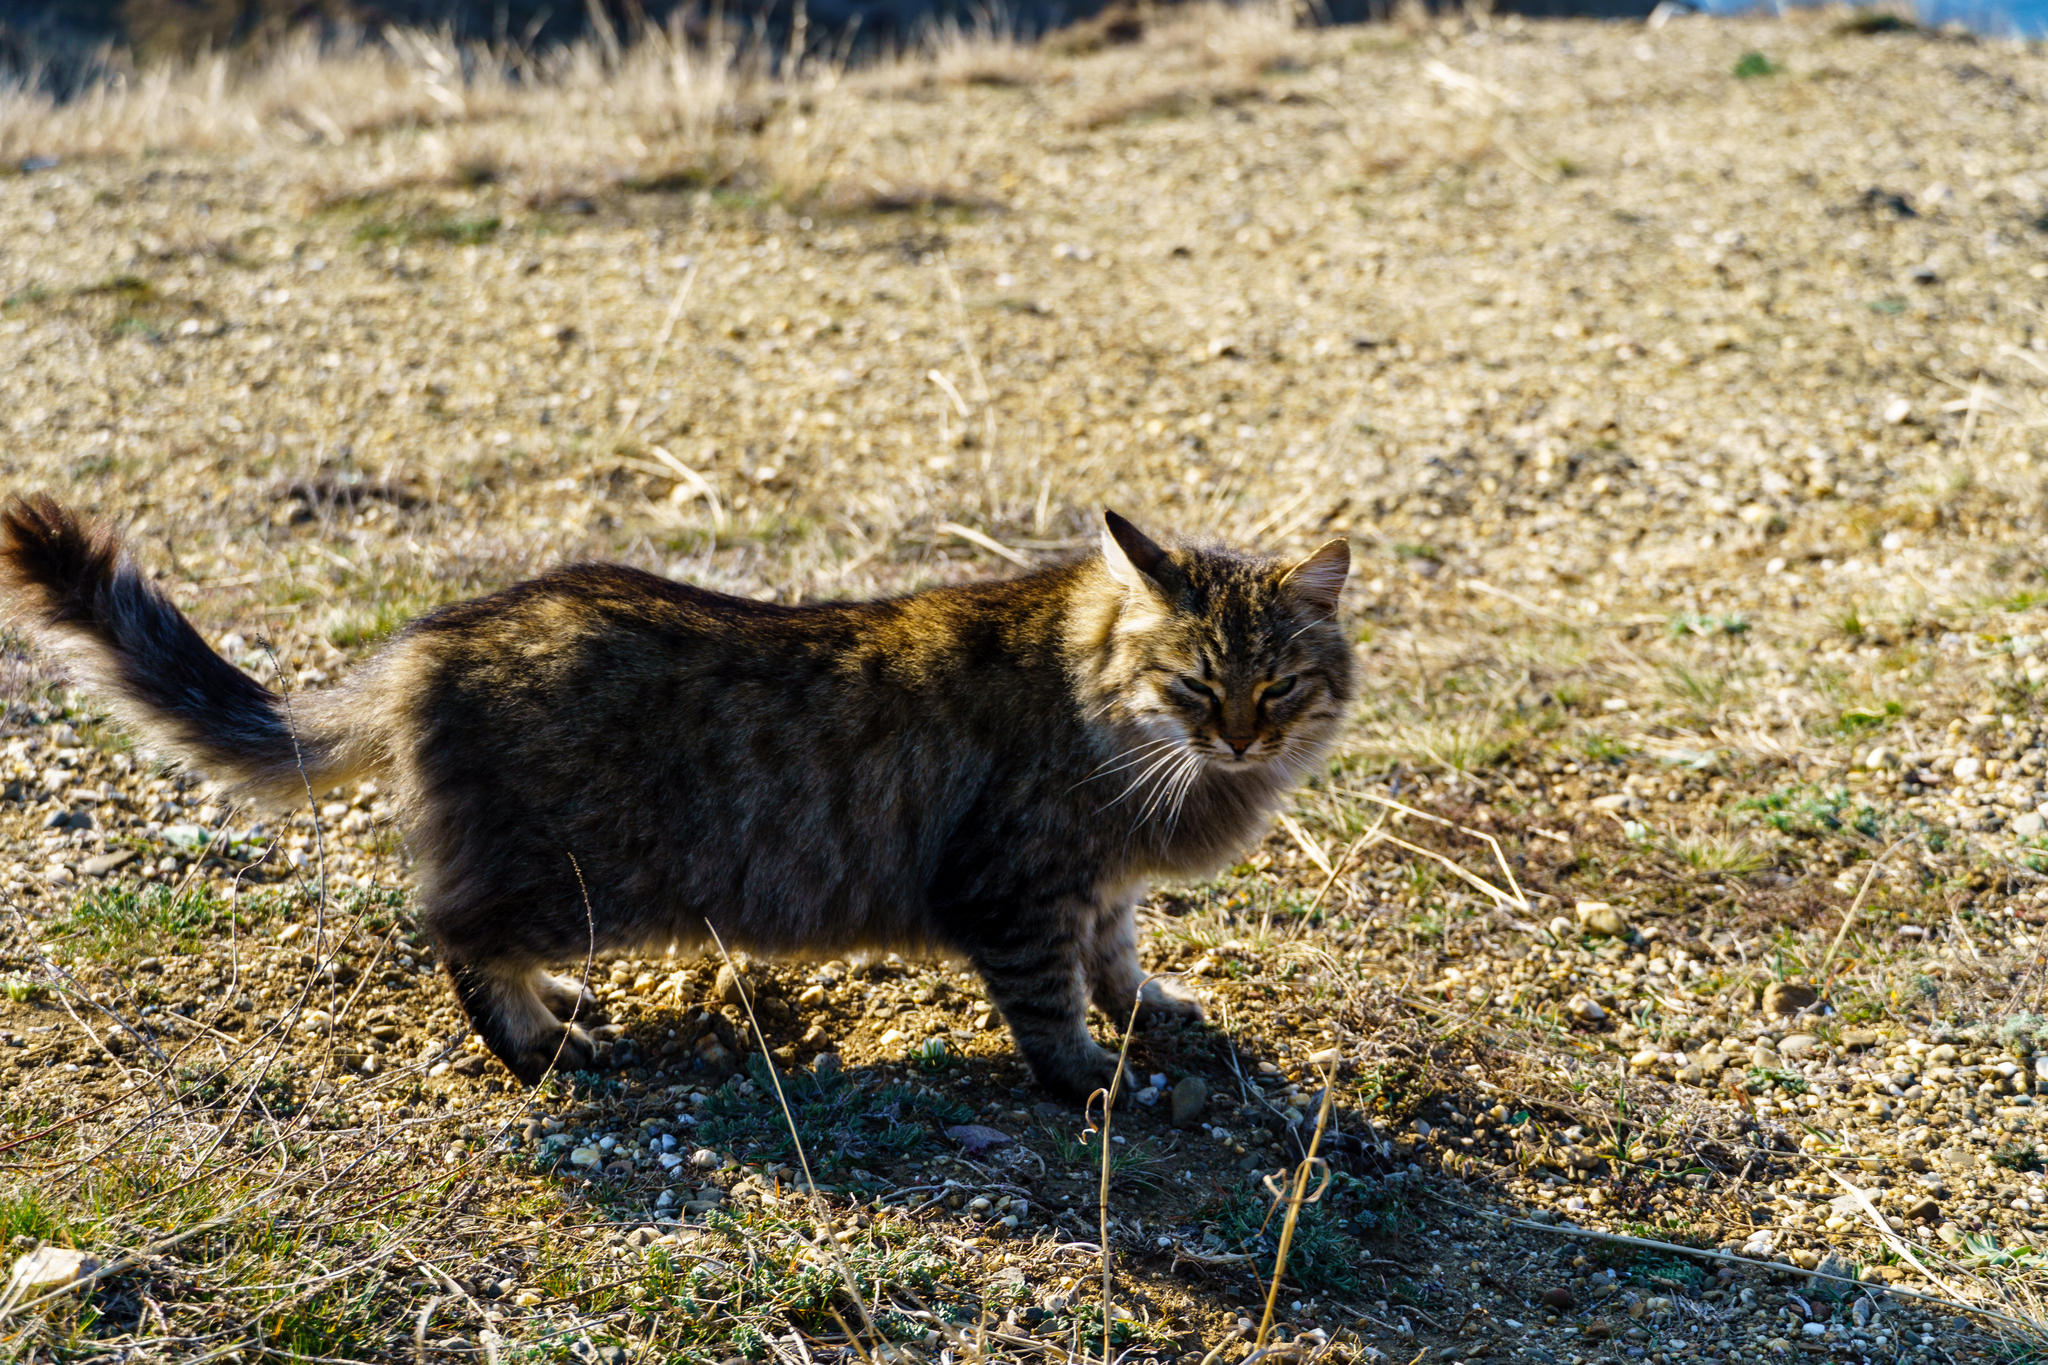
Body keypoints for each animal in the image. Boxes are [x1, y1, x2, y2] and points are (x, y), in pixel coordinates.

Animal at [0, 501, 1351, 1096]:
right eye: (1194, 683)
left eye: (1278, 684)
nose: (1240, 736)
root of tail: (432, 639)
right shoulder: (1018, 889)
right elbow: (1051, 1003)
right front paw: (1088, 1077)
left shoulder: (1098, 886)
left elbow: (1116, 959)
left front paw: (1150, 1008)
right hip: (573, 876)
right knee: (452, 936)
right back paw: (542, 1045)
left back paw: (555, 1006)